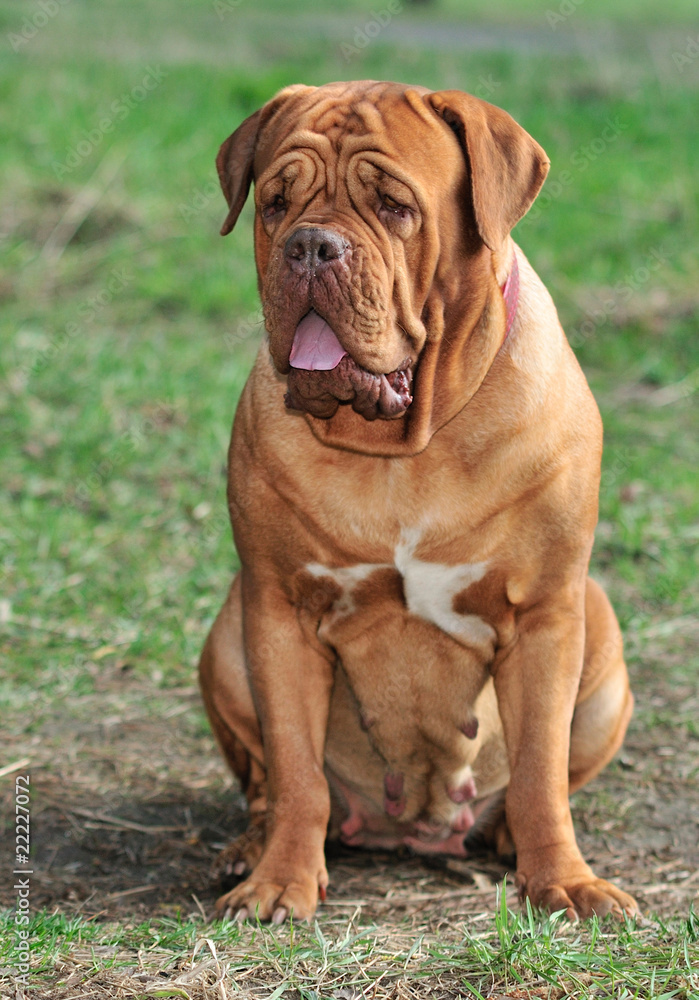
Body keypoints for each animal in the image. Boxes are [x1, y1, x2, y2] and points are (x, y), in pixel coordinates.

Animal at [198, 82, 640, 924]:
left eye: (393, 204)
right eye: (274, 203)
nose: (311, 247)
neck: (402, 448)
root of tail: (411, 831)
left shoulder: (546, 615)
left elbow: (540, 772)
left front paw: (563, 881)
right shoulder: (278, 612)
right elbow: (296, 770)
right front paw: (279, 883)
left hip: (599, 646)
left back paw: (506, 839)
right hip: (227, 639)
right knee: (269, 783)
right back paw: (248, 847)